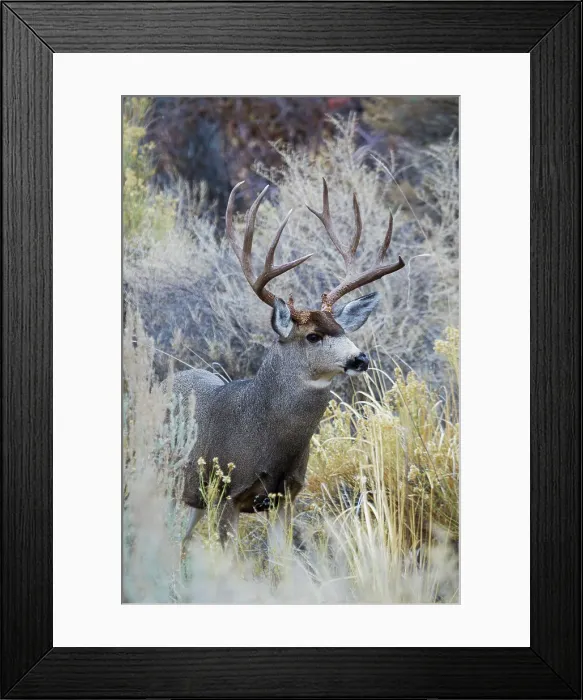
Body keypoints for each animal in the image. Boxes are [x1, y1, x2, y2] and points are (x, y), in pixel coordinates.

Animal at [172, 178, 405, 557]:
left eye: (342, 330)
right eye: (313, 336)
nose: (360, 358)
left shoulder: (287, 495)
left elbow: (282, 560)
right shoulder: (226, 493)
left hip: (193, 499)